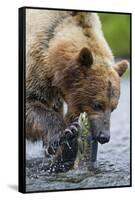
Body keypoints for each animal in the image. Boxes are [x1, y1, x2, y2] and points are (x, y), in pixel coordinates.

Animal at [25, 9, 128, 172]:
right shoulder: (36, 64)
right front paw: (68, 131)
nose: (104, 136)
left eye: (113, 108)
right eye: (97, 105)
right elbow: (31, 102)